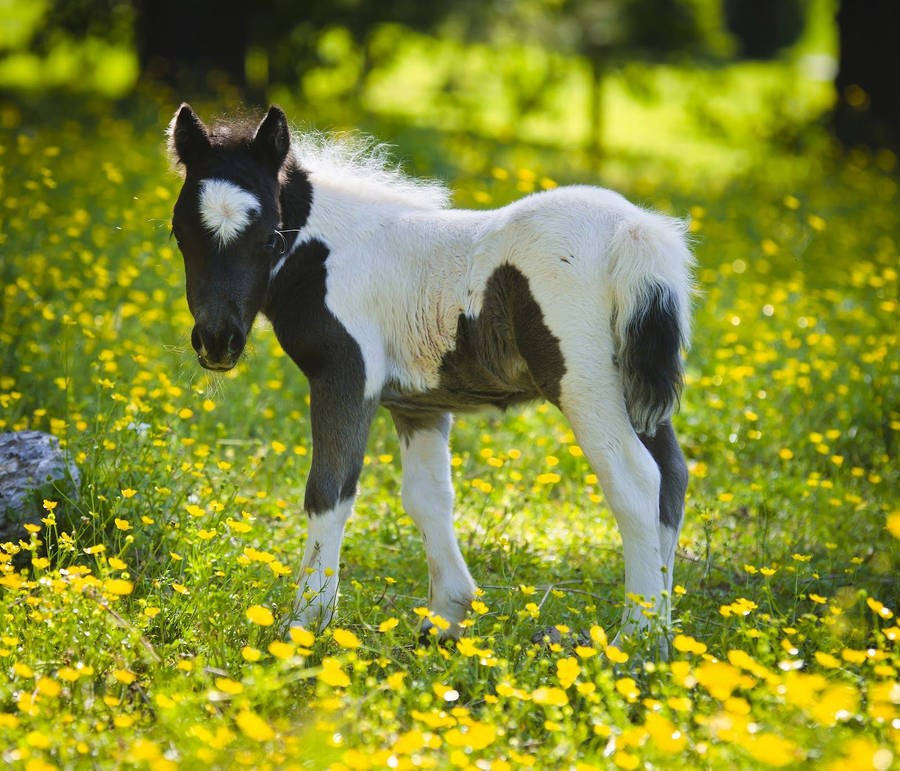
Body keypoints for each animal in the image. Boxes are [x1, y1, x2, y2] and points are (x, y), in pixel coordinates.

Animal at [166, 103, 694, 648]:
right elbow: (428, 498)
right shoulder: (420, 405)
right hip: (635, 393)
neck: (333, 253)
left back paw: (634, 639)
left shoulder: (346, 377)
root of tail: (635, 233)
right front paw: (445, 620)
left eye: (271, 236)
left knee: (635, 481)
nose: (217, 342)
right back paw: (663, 633)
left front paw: (306, 623)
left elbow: (329, 491)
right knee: (672, 478)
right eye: (178, 233)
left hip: (584, 385)